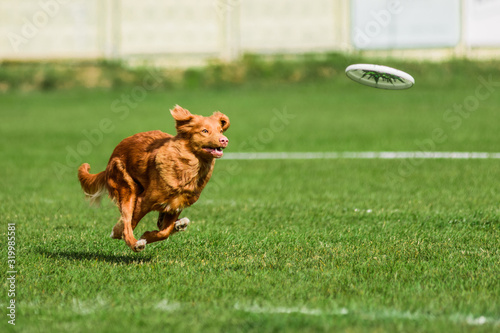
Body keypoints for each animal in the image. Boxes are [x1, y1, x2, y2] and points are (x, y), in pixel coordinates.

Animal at [77, 105, 229, 252]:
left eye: (221, 130)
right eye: (204, 131)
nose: (224, 140)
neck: (187, 167)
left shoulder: (176, 205)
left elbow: (164, 232)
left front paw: (149, 235)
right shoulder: (143, 201)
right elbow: (129, 225)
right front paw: (125, 236)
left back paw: (180, 224)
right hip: (127, 188)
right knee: (127, 219)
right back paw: (133, 241)